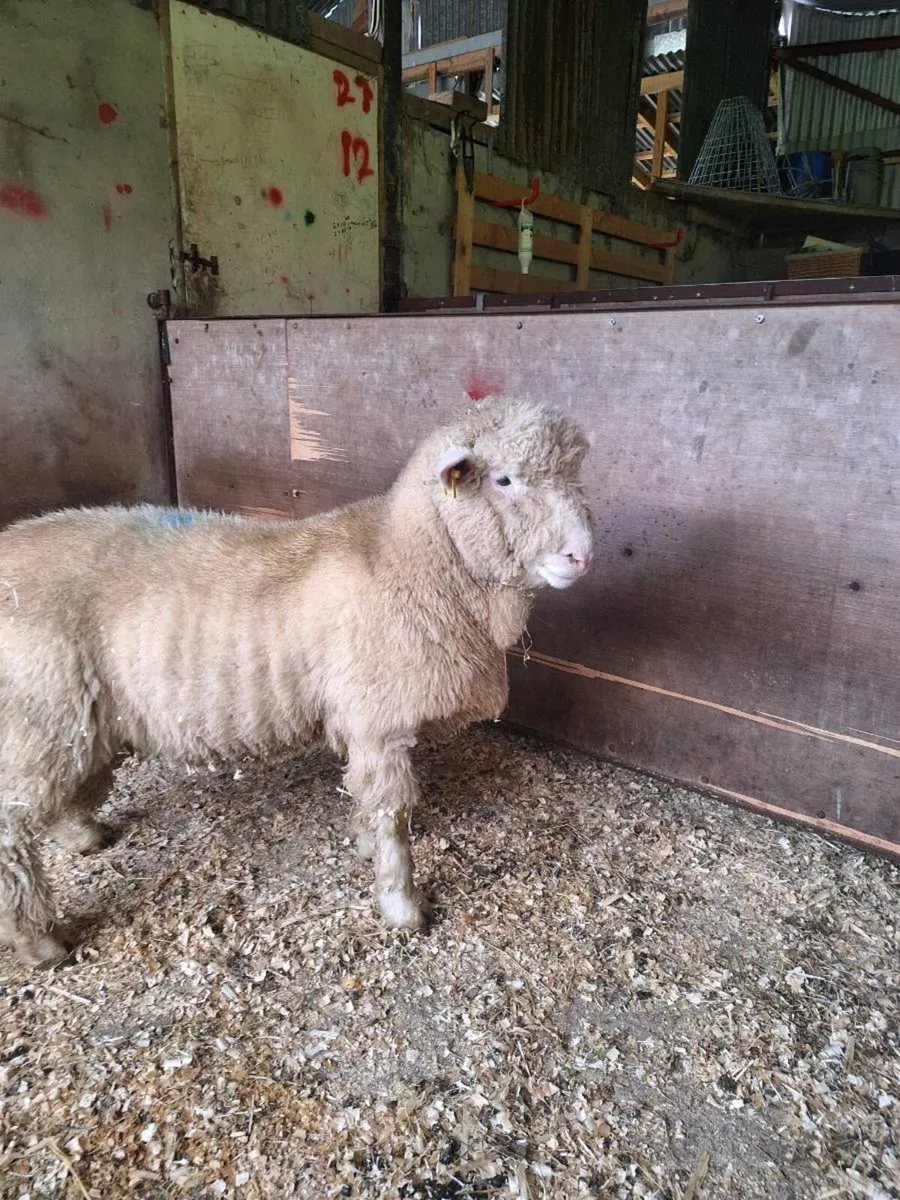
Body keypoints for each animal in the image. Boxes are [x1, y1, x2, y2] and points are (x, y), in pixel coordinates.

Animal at [0, 397, 593, 966]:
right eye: (505, 480)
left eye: (574, 474)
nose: (581, 556)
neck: (406, 561)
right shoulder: (378, 723)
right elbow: (393, 817)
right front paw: (402, 906)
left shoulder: (361, 723)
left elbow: (365, 798)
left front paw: (363, 844)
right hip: (38, 713)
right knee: (13, 825)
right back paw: (40, 942)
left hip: (77, 720)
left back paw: (82, 836)